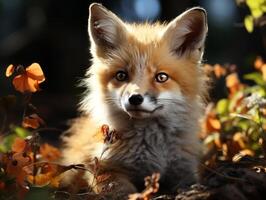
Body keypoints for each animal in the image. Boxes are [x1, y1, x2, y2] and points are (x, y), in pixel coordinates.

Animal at [62, 2, 208, 198]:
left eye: (161, 77)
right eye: (121, 75)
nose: (135, 98)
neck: (150, 148)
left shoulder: (184, 169)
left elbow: (189, 184)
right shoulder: (102, 169)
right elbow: (121, 191)